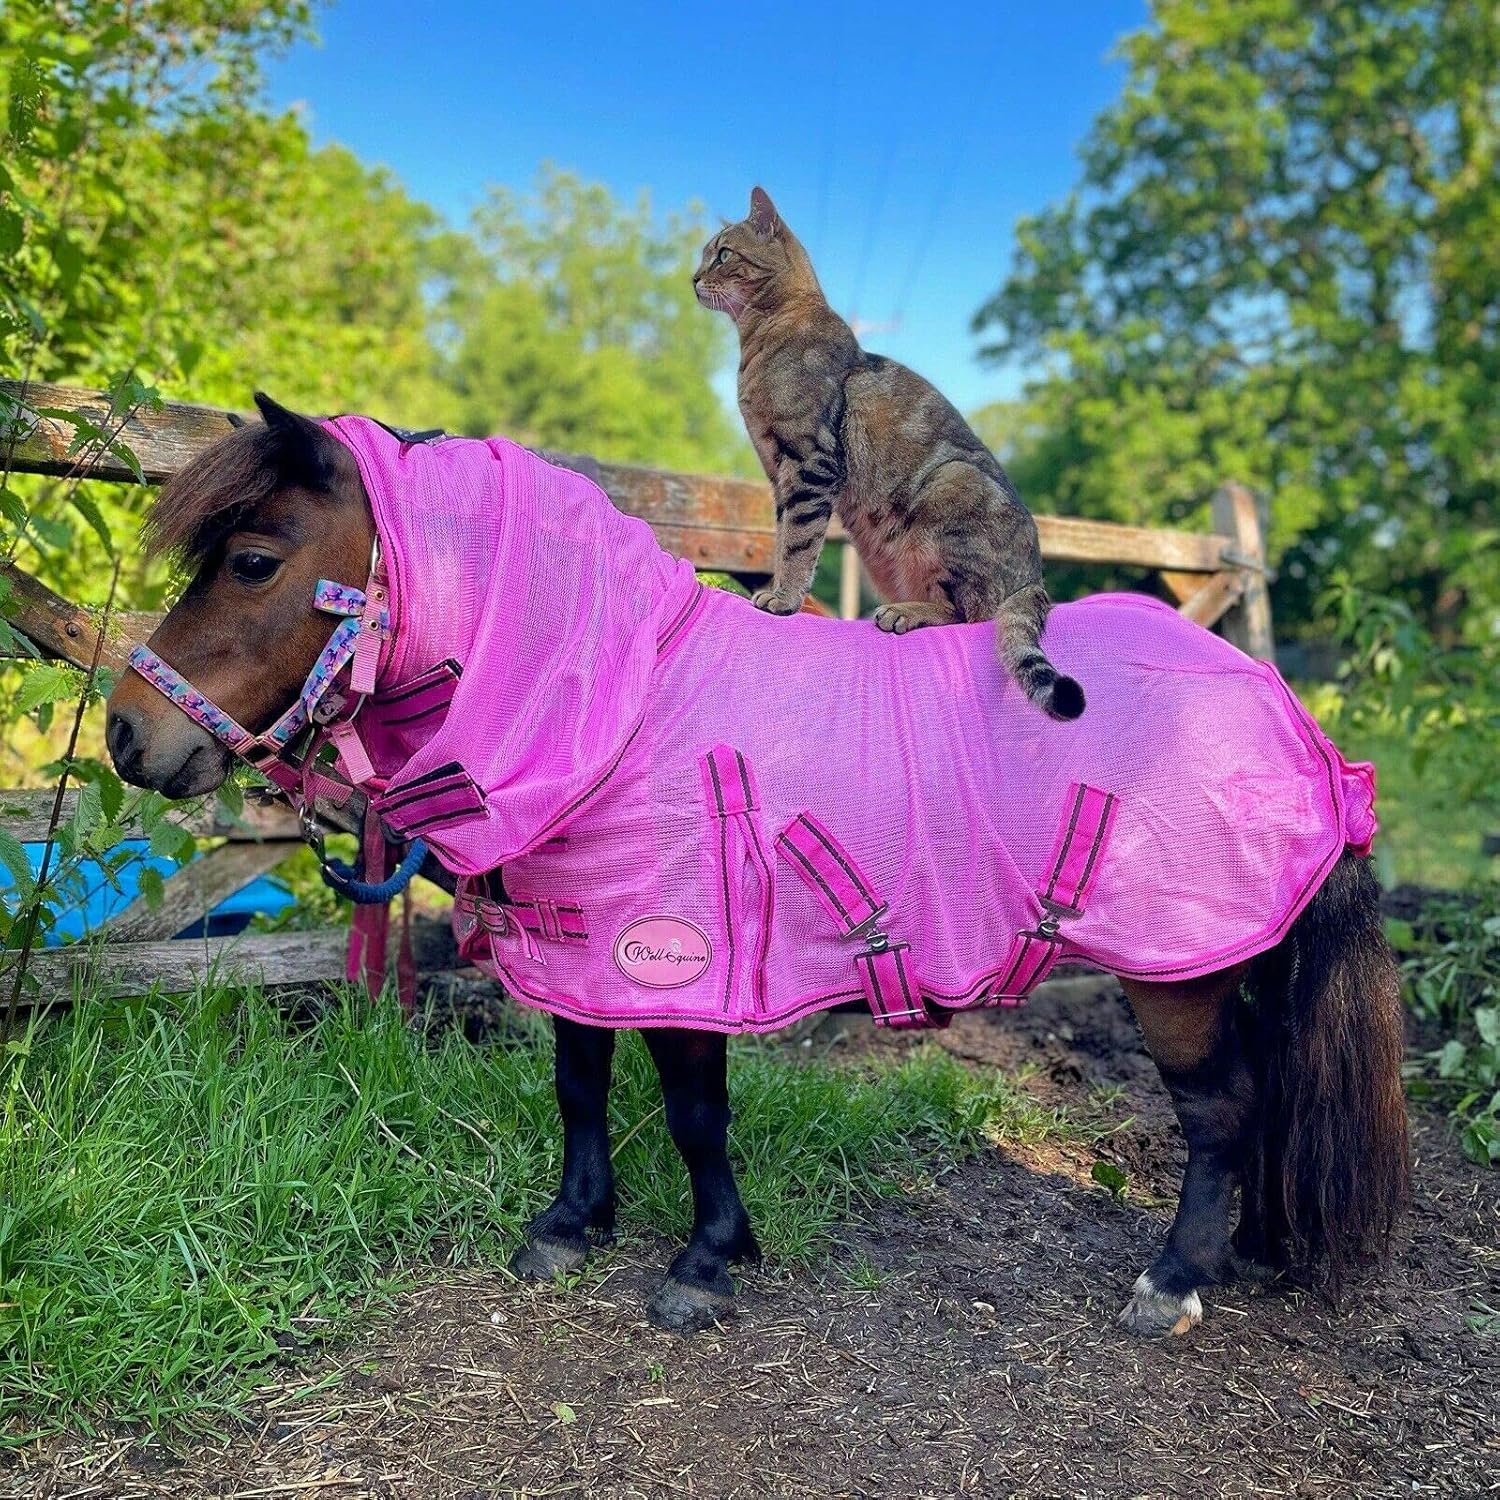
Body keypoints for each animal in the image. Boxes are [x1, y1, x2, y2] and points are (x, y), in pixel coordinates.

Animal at [105, 395, 1411, 1336]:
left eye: (254, 561)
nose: (125, 735)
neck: (629, 699)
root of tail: (1292, 718)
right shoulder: (585, 948)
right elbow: (579, 1084)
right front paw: (572, 1226)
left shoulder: (682, 960)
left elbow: (693, 1114)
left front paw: (704, 1263)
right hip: (1223, 956)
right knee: (1261, 1093)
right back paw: (1247, 1252)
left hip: (1171, 969)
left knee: (1221, 1110)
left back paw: (1173, 1281)